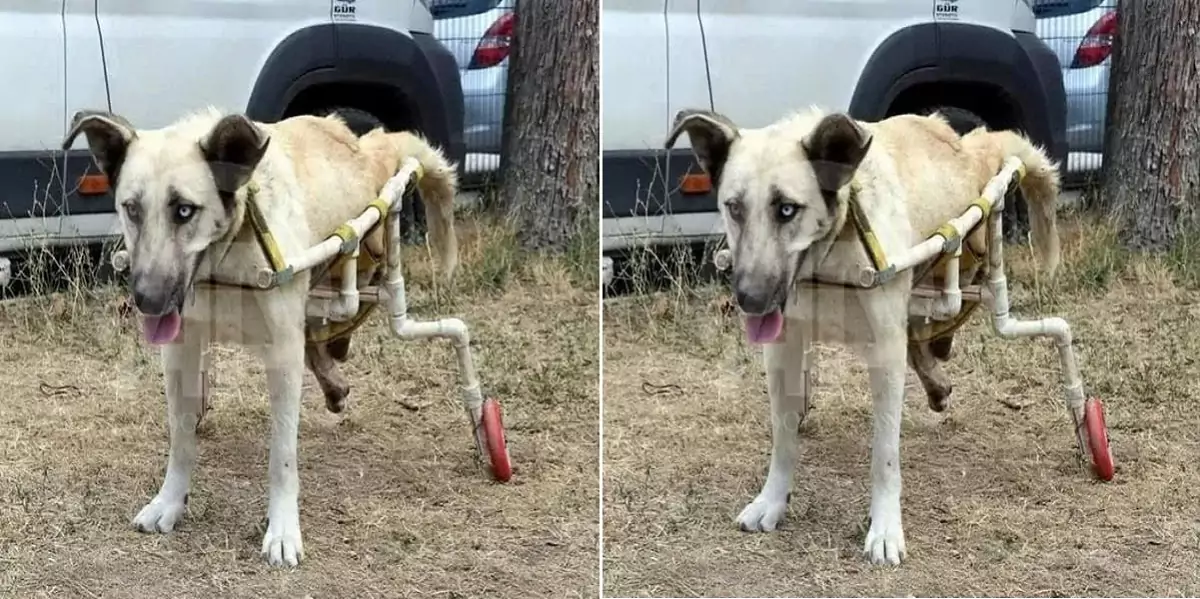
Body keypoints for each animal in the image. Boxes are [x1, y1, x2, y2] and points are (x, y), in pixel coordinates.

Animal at [63, 106, 460, 566]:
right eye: (131, 208)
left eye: (184, 210)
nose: (147, 301)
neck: (227, 255)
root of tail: (359, 140)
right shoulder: (181, 351)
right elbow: (181, 437)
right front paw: (170, 501)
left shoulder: (282, 355)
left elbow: (282, 457)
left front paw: (283, 529)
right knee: (319, 335)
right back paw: (333, 379)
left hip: (366, 255)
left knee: (346, 309)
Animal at [667, 106, 1060, 566]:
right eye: (734, 207)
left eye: (787, 209)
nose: (750, 300)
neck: (831, 254)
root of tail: (963, 140)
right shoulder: (783, 350)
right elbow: (784, 437)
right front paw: (773, 501)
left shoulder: (885, 354)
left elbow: (884, 457)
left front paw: (885, 528)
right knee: (922, 333)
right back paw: (936, 378)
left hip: (967, 255)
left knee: (947, 312)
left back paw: (940, 356)